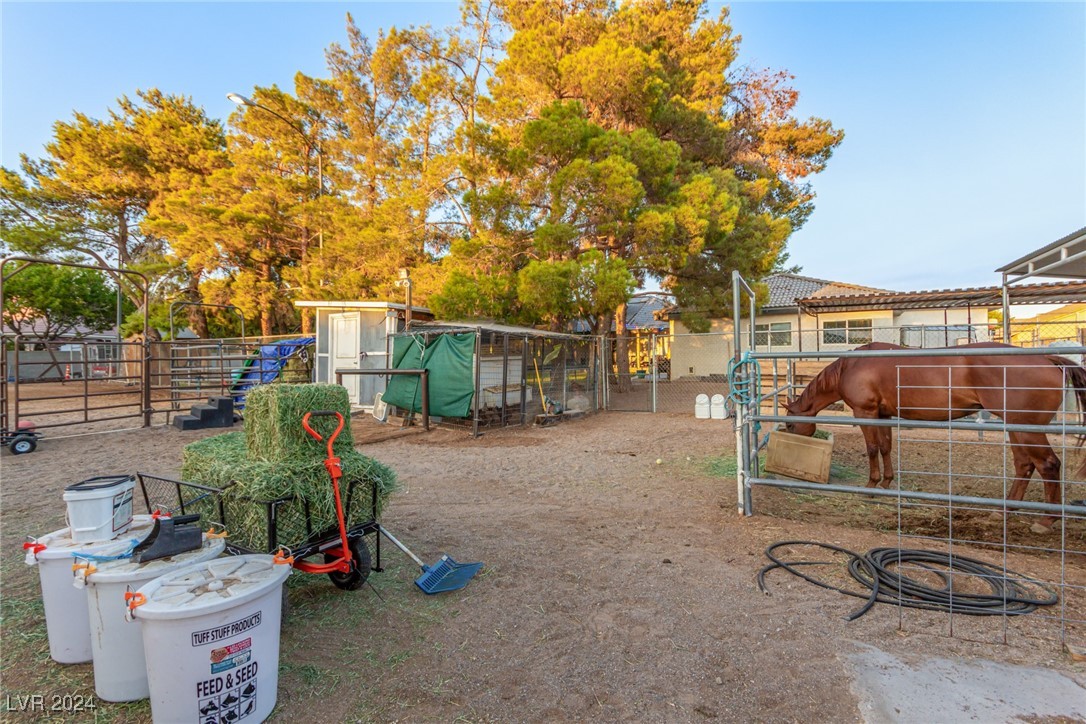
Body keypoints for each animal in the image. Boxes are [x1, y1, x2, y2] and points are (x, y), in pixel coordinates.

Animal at [786, 343, 1086, 529]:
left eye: (789, 426)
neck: (853, 366)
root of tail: (1047, 359)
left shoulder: (865, 412)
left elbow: (872, 448)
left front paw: (871, 487)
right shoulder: (883, 415)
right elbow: (886, 447)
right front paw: (887, 483)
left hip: (1025, 429)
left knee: (1048, 465)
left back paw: (1046, 520)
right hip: (1016, 428)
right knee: (1024, 466)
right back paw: (1002, 511)